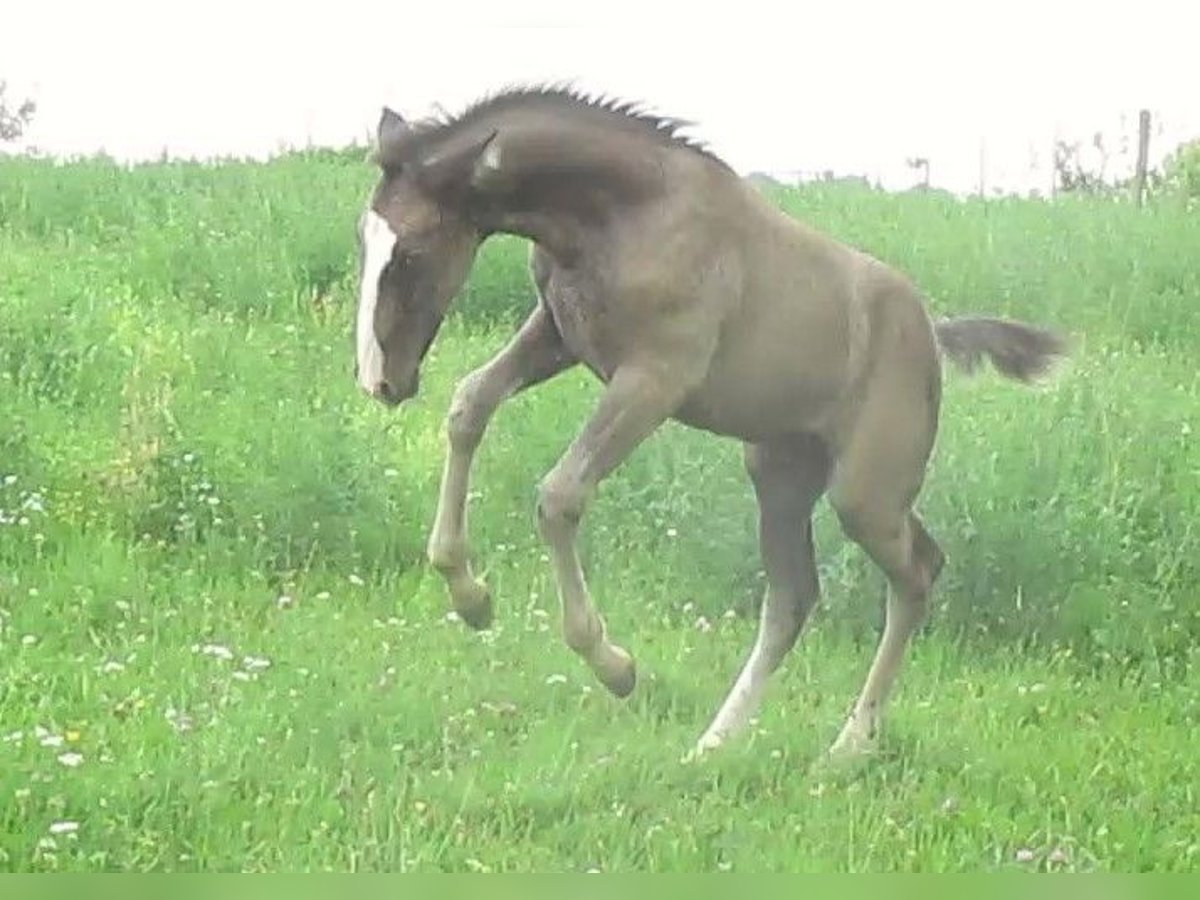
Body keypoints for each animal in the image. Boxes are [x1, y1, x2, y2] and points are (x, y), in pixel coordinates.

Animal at [350, 86, 1065, 763]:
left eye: (410, 254)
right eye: (366, 241)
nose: (382, 381)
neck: (627, 214)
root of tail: (933, 333)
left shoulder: (656, 377)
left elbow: (559, 495)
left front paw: (614, 665)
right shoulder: (557, 334)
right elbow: (469, 404)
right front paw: (469, 596)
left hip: (866, 491)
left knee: (915, 574)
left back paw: (848, 746)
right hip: (781, 473)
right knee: (796, 596)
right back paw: (716, 743)